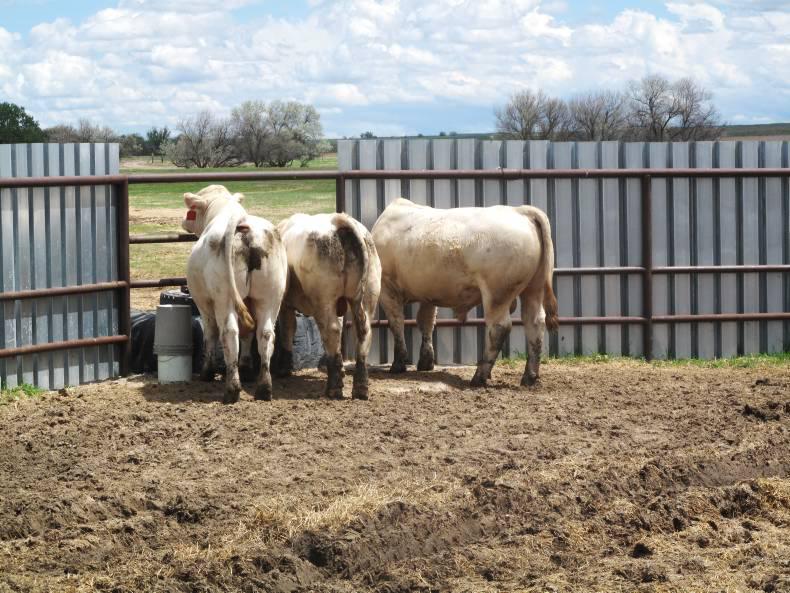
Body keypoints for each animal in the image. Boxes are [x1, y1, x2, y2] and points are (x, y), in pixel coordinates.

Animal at [182, 185, 288, 404]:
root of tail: (243, 225)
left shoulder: (204, 303)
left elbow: (210, 334)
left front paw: (207, 372)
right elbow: (248, 334)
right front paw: (246, 368)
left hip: (224, 299)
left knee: (229, 333)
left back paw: (232, 389)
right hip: (270, 298)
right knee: (265, 335)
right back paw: (264, 388)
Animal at [274, 213, 381, 400]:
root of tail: (340, 221)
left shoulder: (285, 303)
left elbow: (287, 330)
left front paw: (283, 368)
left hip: (323, 299)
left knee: (331, 330)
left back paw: (334, 388)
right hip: (367, 295)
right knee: (363, 332)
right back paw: (360, 387)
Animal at [371, 198, 558, 387]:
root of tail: (520, 211)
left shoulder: (386, 287)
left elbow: (397, 323)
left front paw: (398, 364)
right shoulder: (429, 292)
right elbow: (426, 322)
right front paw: (425, 362)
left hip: (497, 293)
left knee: (499, 327)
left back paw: (479, 376)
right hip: (534, 288)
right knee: (535, 323)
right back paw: (529, 376)